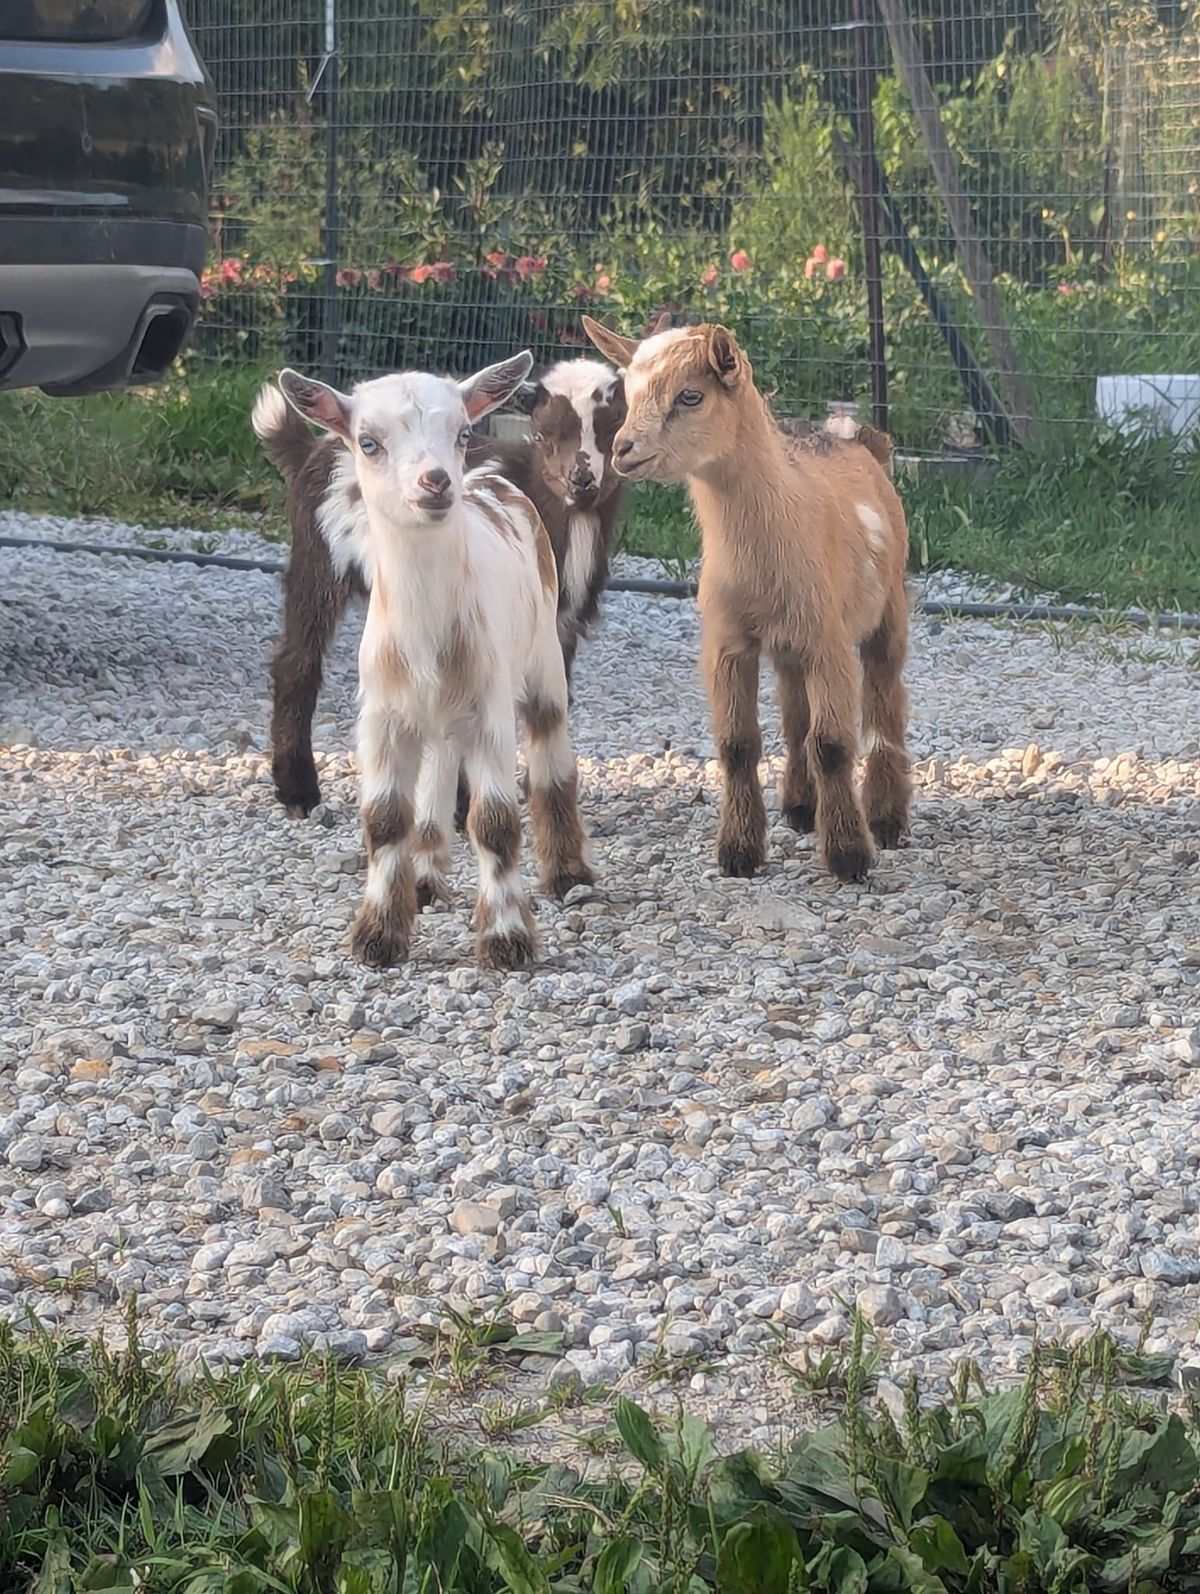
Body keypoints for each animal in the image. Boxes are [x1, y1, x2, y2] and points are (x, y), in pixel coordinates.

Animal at [253, 355, 627, 816]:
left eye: (615, 426)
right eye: (541, 433)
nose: (582, 481)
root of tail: (315, 448)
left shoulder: (559, 624)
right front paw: (466, 803)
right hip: (318, 561)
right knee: (297, 662)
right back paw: (298, 789)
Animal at [269, 352, 592, 969]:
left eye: (462, 433)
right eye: (368, 442)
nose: (436, 480)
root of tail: (495, 483)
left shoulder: (490, 709)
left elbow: (494, 822)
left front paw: (507, 939)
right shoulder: (382, 715)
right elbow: (384, 818)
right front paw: (378, 933)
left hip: (541, 656)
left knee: (550, 752)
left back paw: (569, 874)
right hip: (437, 710)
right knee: (439, 767)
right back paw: (423, 877)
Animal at [580, 310, 905, 886]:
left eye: (691, 395)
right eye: (629, 394)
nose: (623, 450)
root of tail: (857, 440)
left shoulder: (828, 641)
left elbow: (833, 743)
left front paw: (849, 856)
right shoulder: (728, 642)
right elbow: (737, 745)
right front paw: (738, 852)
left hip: (889, 604)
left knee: (885, 698)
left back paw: (887, 819)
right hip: (789, 645)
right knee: (796, 716)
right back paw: (800, 806)